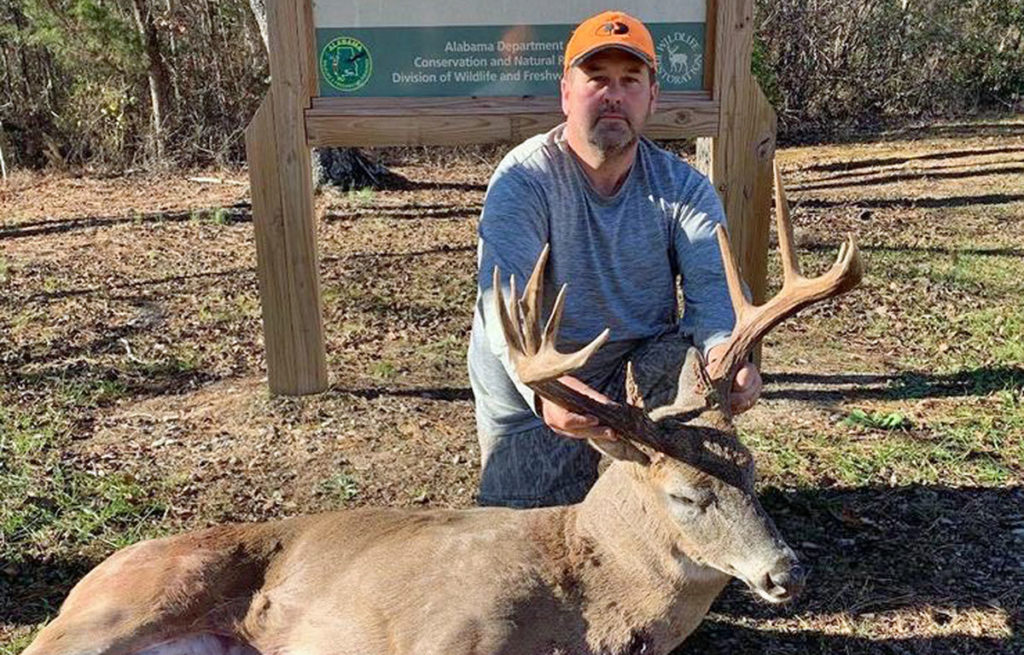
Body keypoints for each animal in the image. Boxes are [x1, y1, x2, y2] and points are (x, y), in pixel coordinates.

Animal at [19, 164, 860, 655]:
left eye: (753, 472)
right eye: (688, 495)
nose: (788, 572)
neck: (588, 609)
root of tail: (87, 576)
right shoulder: (444, 630)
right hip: (119, 607)